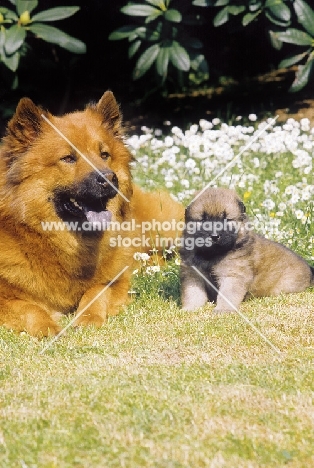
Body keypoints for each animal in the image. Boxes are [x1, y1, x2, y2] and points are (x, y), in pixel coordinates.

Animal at [0, 90, 184, 336]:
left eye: (104, 154)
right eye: (68, 158)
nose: (109, 178)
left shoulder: (116, 281)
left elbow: (96, 292)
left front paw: (88, 318)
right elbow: (29, 307)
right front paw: (49, 327)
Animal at [180, 186, 312, 310]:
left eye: (226, 219)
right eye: (203, 220)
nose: (214, 236)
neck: (211, 255)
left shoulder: (233, 275)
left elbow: (227, 294)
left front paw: (223, 309)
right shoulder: (193, 275)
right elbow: (193, 294)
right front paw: (190, 309)